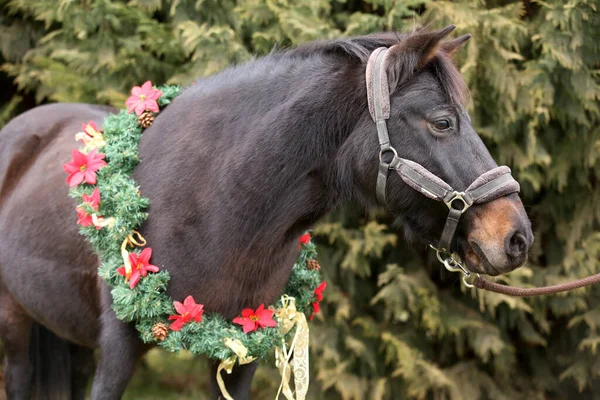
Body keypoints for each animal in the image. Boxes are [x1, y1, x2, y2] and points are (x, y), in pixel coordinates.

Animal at [0, 26, 536, 398]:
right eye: (443, 122)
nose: (517, 237)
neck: (212, 203)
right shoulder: (117, 348)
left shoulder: (242, 352)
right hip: (15, 322)